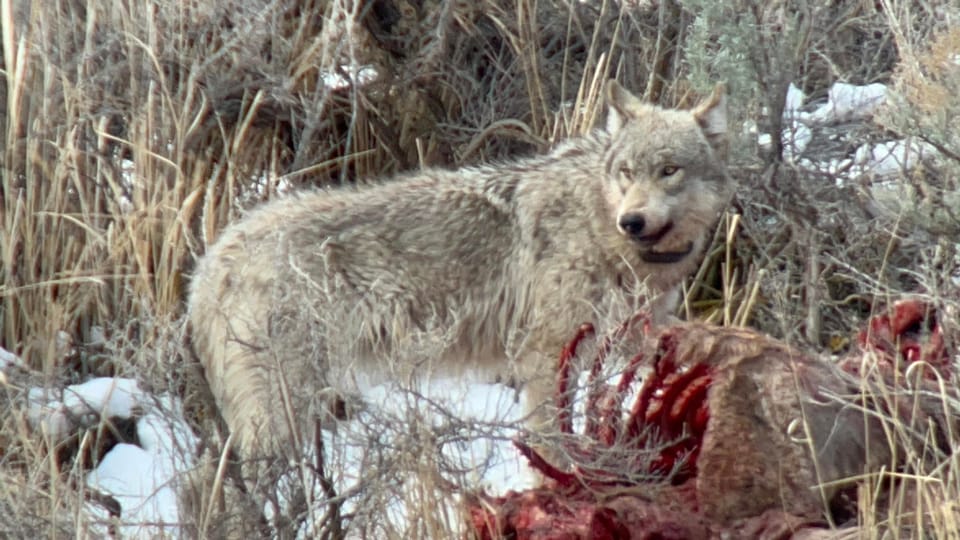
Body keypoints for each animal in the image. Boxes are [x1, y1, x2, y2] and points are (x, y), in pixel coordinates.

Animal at [184, 79, 732, 486]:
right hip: (284, 414)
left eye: (669, 170)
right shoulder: (543, 359)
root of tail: (212, 260)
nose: (632, 221)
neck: (600, 225)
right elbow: (550, 448)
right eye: (626, 172)